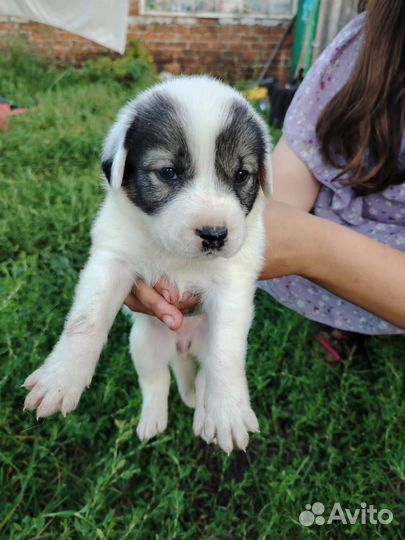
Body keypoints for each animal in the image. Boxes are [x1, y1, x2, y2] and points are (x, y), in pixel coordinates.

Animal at [23, 75, 274, 452]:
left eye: (242, 175)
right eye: (168, 172)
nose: (215, 235)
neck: (177, 256)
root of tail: (182, 346)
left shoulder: (232, 285)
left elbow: (225, 355)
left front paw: (228, 413)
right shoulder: (112, 260)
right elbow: (86, 321)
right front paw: (61, 377)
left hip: (197, 344)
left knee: (204, 375)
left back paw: (205, 417)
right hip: (143, 343)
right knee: (156, 379)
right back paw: (152, 420)